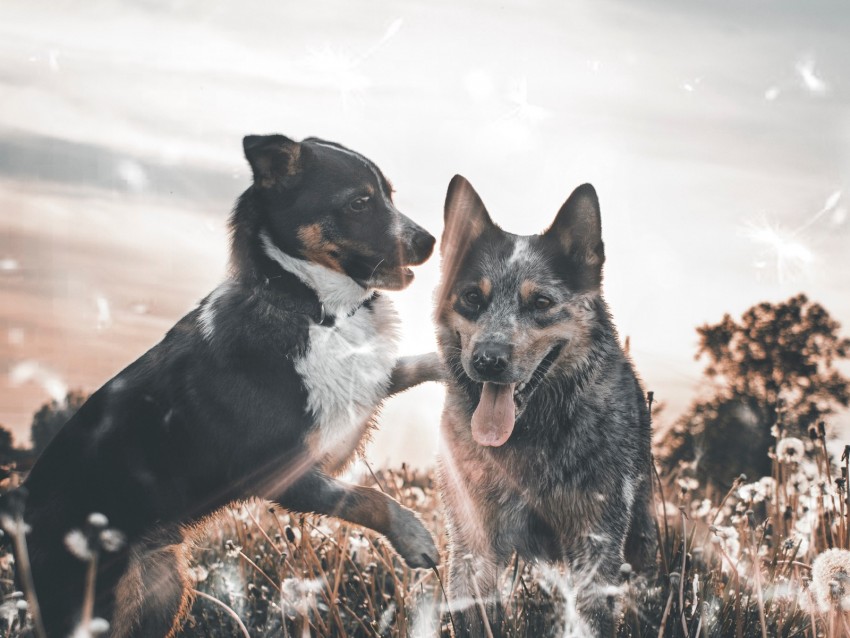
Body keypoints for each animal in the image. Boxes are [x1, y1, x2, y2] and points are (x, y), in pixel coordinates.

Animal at [9, 135, 440, 638]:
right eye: (359, 202)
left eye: (389, 195)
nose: (429, 241)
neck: (311, 306)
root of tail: (14, 513)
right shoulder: (285, 470)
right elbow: (369, 498)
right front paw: (415, 537)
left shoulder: (352, 403)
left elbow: (415, 365)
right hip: (95, 606)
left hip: (161, 589)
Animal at [434, 176, 652, 638]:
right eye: (472, 297)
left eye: (541, 303)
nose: (488, 360)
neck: (530, 435)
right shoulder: (472, 544)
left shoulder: (596, 543)